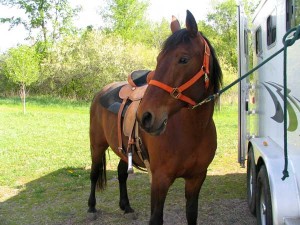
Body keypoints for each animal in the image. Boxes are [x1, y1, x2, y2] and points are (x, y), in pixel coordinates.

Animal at [88, 9, 221, 224]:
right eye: (159, 59)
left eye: (183, 59)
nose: (145, 116)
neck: (191, 132)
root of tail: (102, 91)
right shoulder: (159, 180)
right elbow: (156, 218)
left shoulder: (197, 179)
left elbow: (191, 215)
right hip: (97, 145)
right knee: (93, 173)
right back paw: (91, 207)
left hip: (124, 149)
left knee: (121, 173)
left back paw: (126, 206)